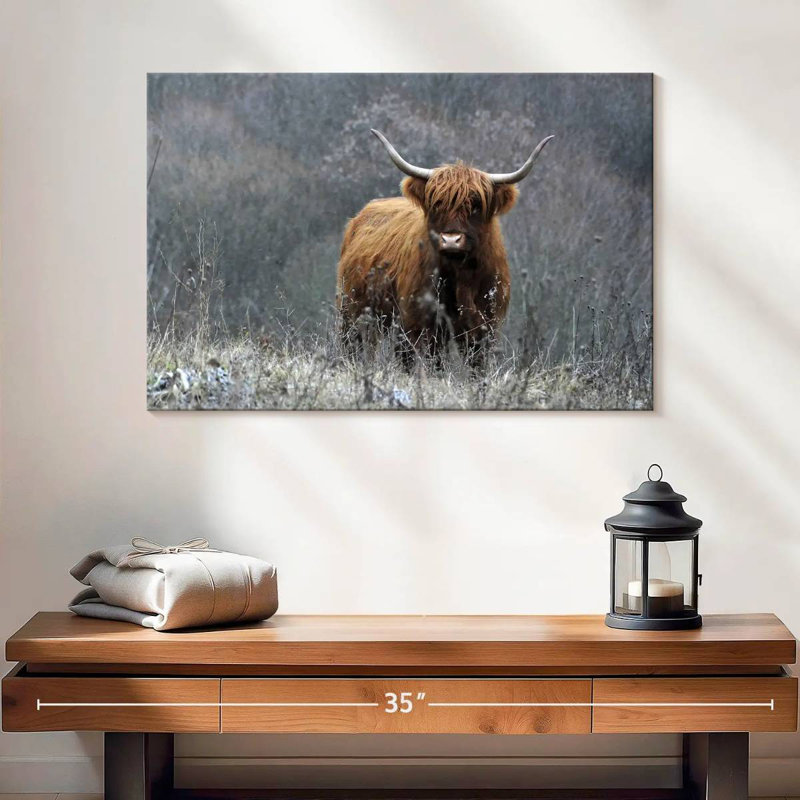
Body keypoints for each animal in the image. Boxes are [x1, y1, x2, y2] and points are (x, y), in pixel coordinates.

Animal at [336, 128, 554, 365]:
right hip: (351, 312)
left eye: (476, 206)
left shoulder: (484, 327)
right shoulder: (419, 322)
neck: (460, 276)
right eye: (438, 204)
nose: (451, 240)